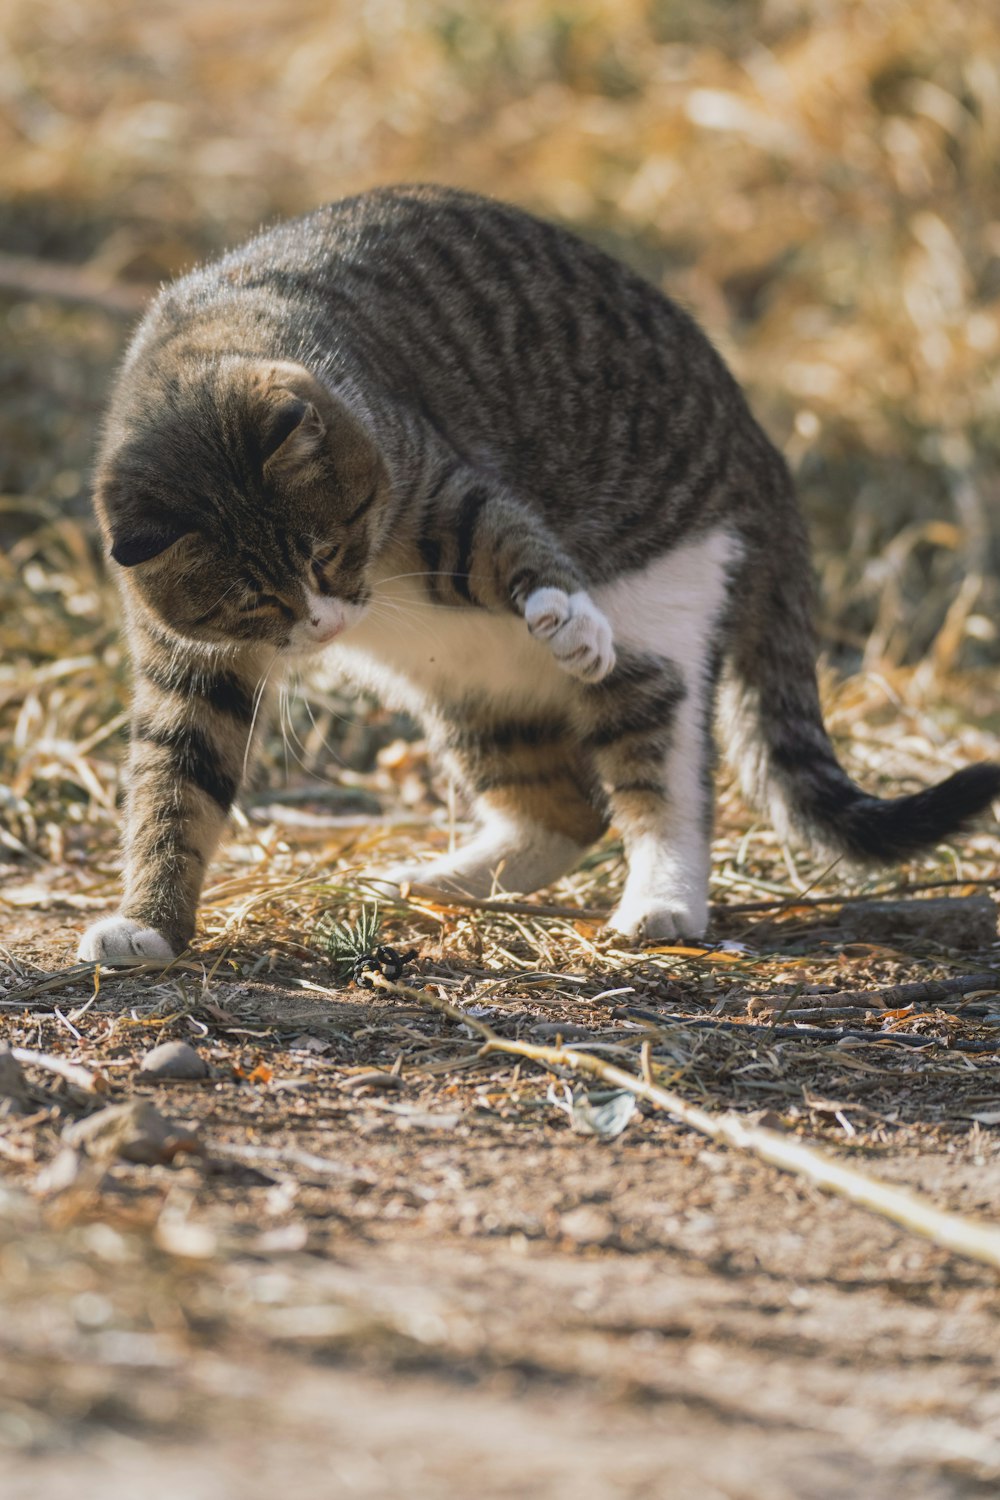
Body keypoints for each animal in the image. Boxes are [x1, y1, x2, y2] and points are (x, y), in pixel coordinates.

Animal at [78, 184, 1000, 960]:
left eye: (326, 553)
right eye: (253, 600)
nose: (325, 623)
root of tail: (760, 447)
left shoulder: (437, 483)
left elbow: (510, 541)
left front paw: (567, 613)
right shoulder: (191, 663)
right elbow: (175, 784)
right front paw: (149, 922)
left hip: (658, 621)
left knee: (663, 781)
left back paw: (661, 900)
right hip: (475, 691)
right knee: (564, 812)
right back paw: (446, 880)